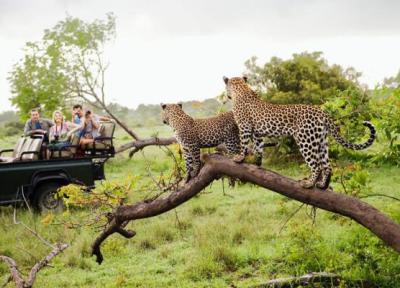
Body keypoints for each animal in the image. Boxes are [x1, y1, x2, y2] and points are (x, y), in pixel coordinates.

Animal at [222, 75, 376, 190]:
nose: (227, 96)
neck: (241, 89)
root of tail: (322, 111)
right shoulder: (257, 133)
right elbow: (258, 147)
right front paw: (257, 163)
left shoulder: (245, 127)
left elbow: (244, 144)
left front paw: (239, 158)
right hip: (321, 141)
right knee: (327, 166)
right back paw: (322, 185)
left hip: (305, 140)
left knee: (316, 165)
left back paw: (309, 184)